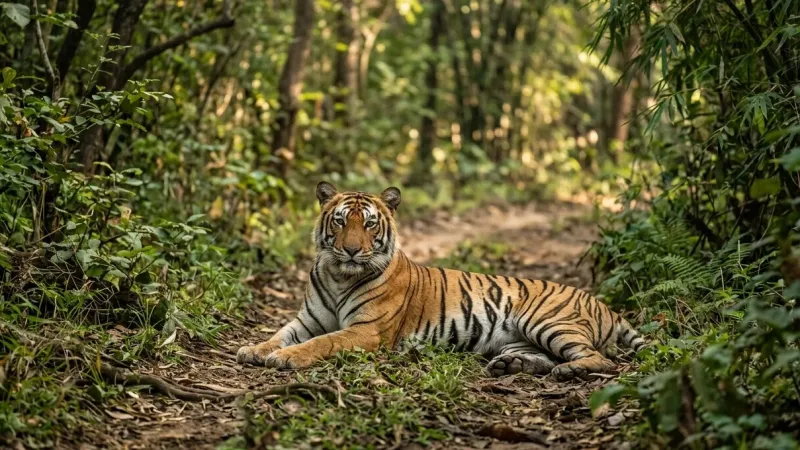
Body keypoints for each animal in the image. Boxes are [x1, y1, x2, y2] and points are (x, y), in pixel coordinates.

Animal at [236, 182, 646, 380]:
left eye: (369, 224)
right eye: (339, 221)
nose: (351, 250)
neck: (339, 275)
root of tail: (603, 304)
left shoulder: (367, 331)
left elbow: (324, 342)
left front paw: (285, 358)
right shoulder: (306, 320)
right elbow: (280, 333)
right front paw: (254, 349)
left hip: (546, 321)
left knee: (603, 361)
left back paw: (567, 371)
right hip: (519, 338)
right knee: (544, 357)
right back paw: (512, 367)